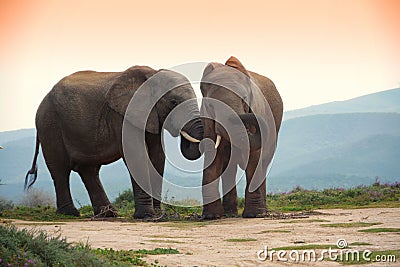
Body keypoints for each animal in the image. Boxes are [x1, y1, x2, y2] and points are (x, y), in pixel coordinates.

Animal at [25, 66, 205, 219]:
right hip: (49, 124)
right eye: (173, 102)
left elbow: (158, 158)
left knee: (88, 170)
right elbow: (136, 155)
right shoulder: (123, 115)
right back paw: (70, 214)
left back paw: (108, 214)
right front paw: (146, 216)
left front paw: (159, 215)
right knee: (60, 170)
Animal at [199, 57, 282, 220]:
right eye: (210, 105)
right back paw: (229, 213)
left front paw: (253, 215)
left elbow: (254, 156)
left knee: (263, 163)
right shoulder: (207, 119)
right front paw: (211, 216)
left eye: (244, 100)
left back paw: (262, 212)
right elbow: (213, 155)